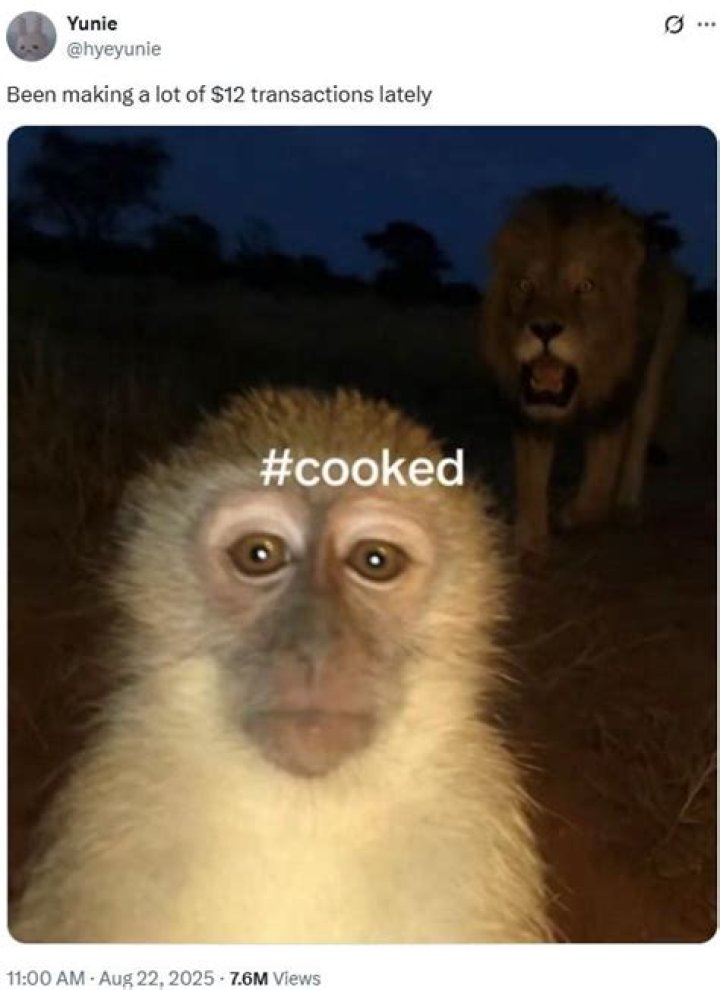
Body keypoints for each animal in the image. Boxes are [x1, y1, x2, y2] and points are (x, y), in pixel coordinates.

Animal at [480, 186, 687, 555]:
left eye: (585, 286)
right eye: (524, 285)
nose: (545, 328)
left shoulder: (613, 407)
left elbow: (597, 493)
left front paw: (568, 517)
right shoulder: (529, 414)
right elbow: (530, 480)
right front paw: (529, 541)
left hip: (655, 368)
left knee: (639, 437)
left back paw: (627, 506)